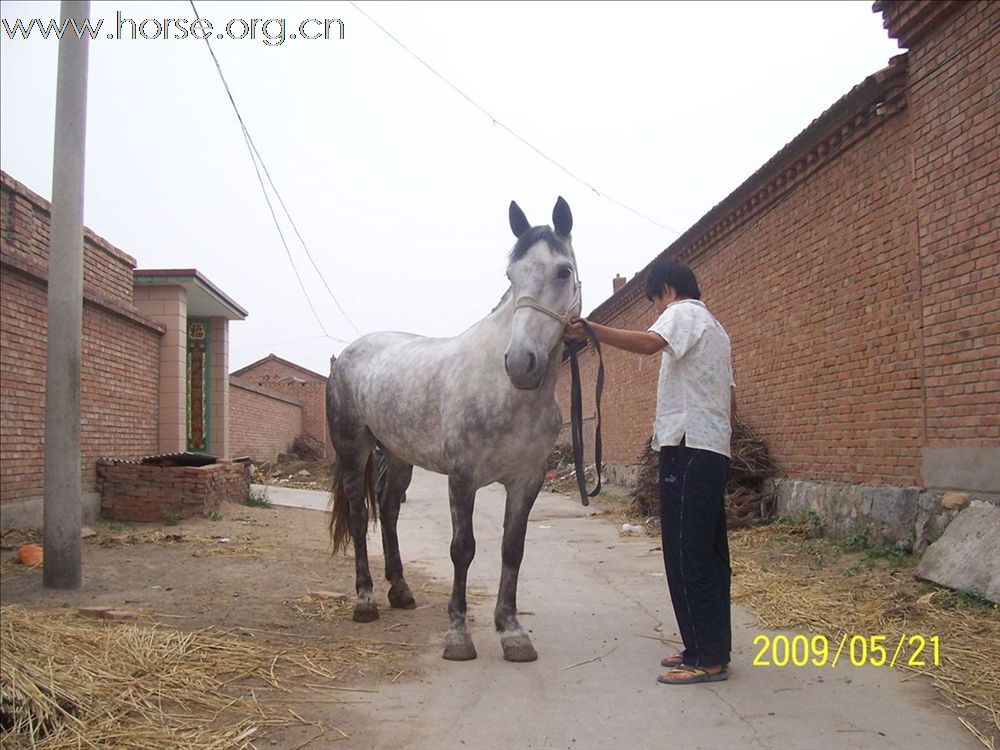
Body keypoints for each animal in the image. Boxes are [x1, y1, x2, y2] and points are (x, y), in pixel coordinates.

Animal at [328, 197, 580, 660]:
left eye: (563, 271)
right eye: (511, 276)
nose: (521, 363)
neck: (507, 393)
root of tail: (347, 355)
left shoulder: (527, 480)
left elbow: (512, 549)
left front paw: (512, 631)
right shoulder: (462, 478)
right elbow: (463, 550)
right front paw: (458, 635)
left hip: (398, 455)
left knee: (388, 511)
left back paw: (401, 592)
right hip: (353, 451)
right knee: (359, 516)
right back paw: (366, 601)